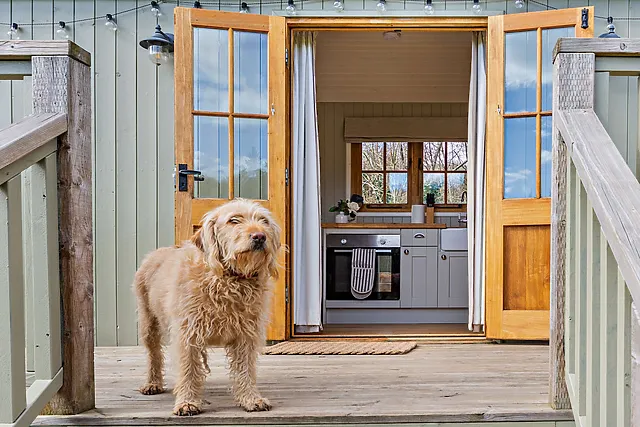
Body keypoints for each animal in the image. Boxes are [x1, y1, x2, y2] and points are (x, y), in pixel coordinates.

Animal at [134, 199, 282, 416]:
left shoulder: (247, 334)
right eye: (234, 220)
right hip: (148, 323)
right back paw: (153, 383)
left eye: (264, 221)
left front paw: (250, 398)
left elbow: (245, 368)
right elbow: (188, 369)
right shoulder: (188, 333)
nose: (260, 236)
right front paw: (187, 401)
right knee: (154, 354)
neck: (228, 279)